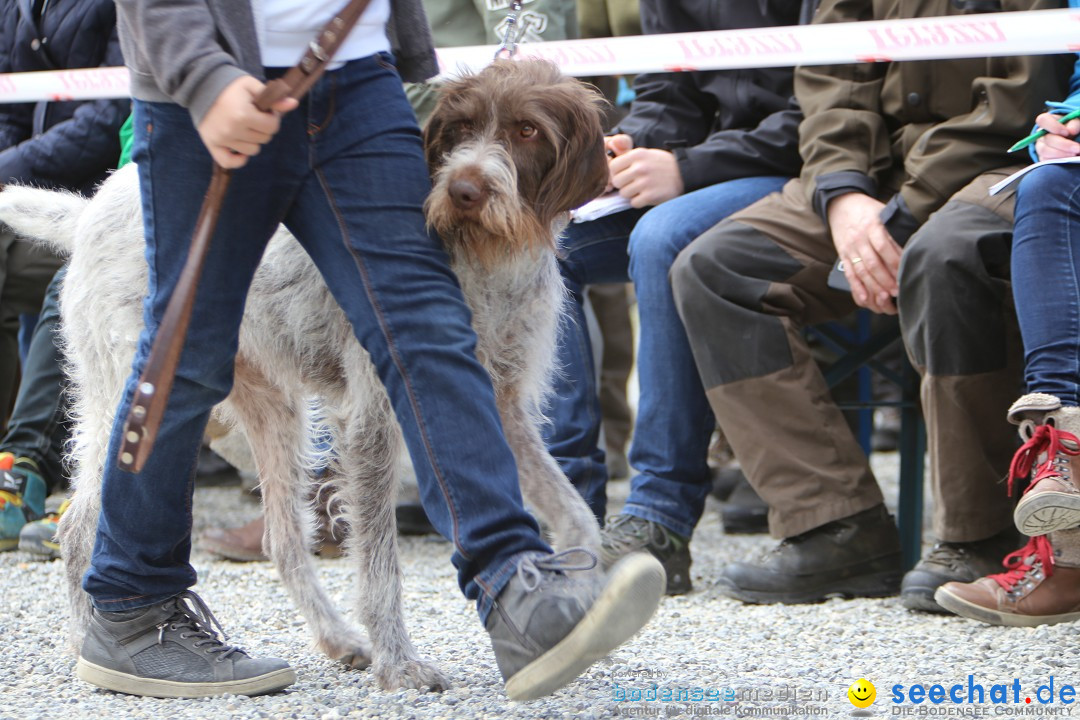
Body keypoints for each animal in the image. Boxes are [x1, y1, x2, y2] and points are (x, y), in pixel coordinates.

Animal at [0, 62, 609, 690]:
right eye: (461, 128)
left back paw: (336, 637)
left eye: (527, 131)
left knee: (283, 538)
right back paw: (88, 639)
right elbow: (380, 563)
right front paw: (398, 662)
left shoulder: (502, 407)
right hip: (140, 391)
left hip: (273, 409)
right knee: (79, 527)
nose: (465, 190)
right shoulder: (371, 420)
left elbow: (577, 514)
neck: (483, 259)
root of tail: (91, 208)